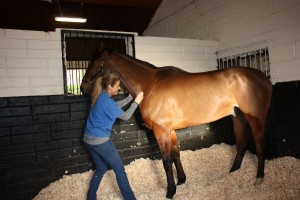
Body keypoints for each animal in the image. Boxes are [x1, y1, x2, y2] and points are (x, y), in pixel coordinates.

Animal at [81, 48, 274, 198]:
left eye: (95, 63)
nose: (83, 88)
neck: (150, 85)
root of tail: (264, 78)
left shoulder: (160, 131)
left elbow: (166, 160)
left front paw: (170, 191)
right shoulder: (169, 130)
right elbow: (176, 155)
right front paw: (181, 180)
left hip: (255, 119)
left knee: (259, 146)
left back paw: (259, 178)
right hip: (237, 117)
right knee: (241, 144)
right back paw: (233, 172)